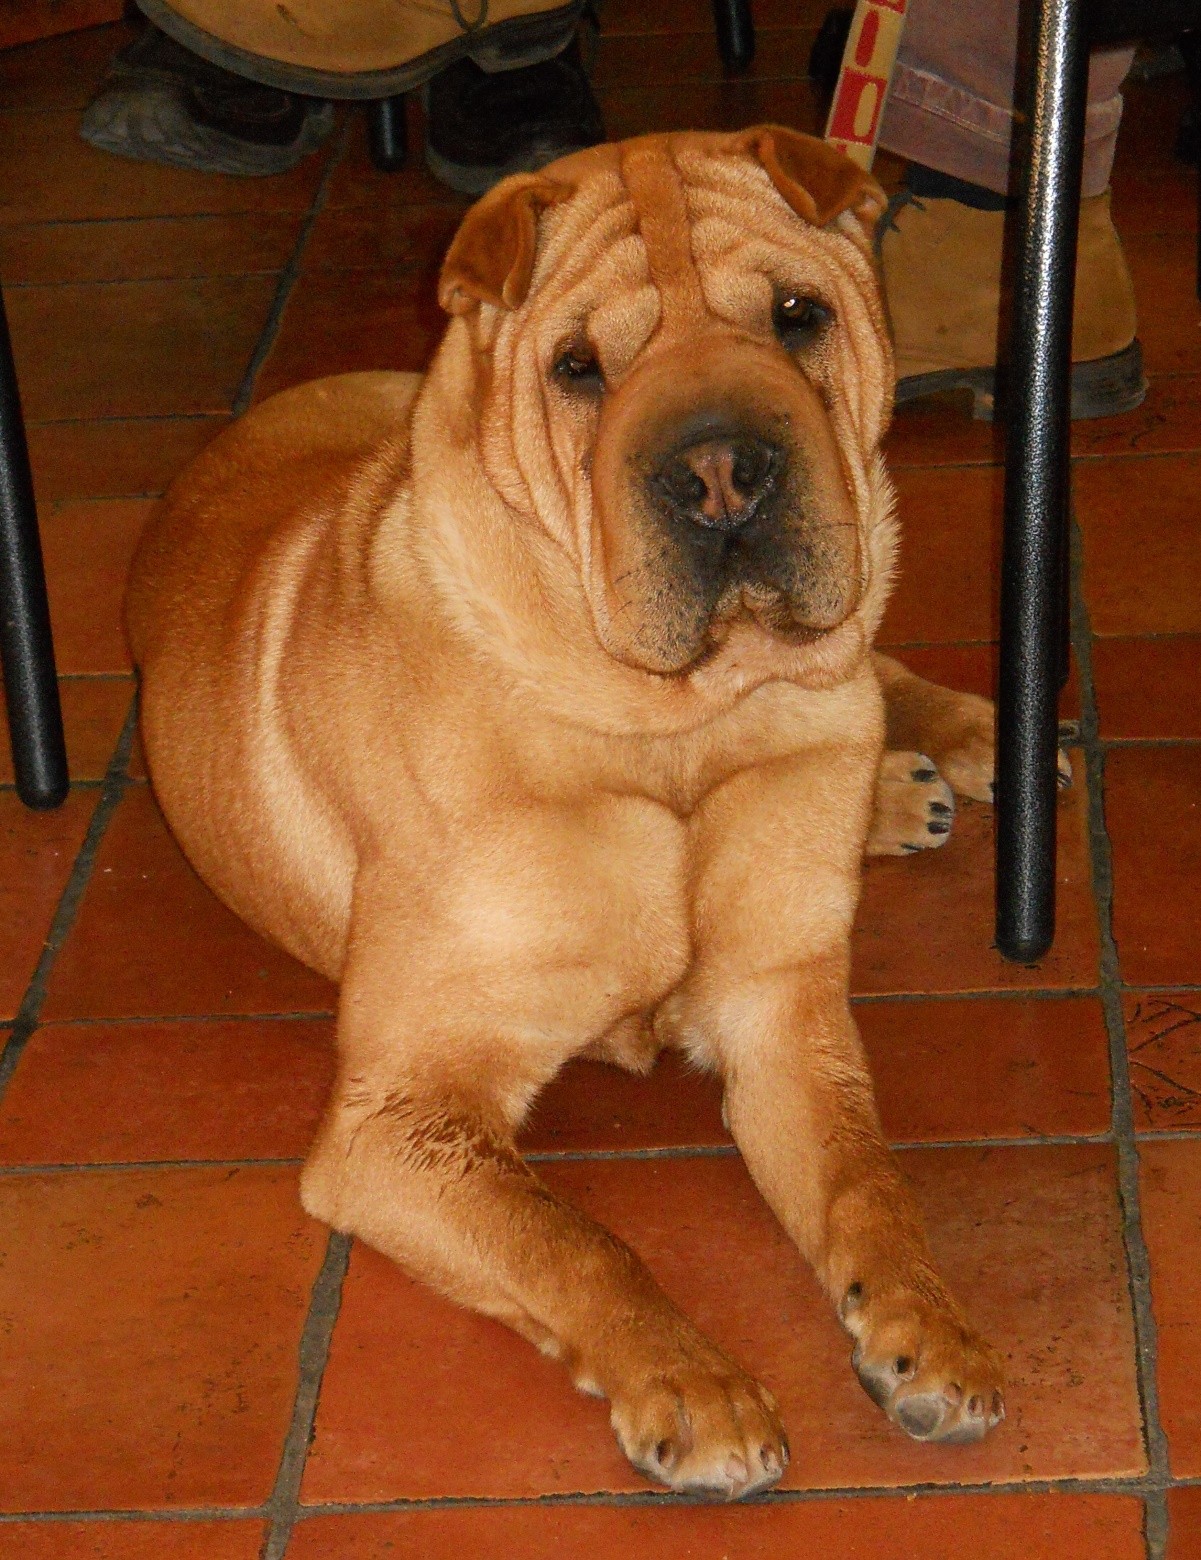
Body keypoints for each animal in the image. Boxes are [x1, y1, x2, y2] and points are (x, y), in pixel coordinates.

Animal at [128, 124, 1010, 1497]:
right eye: (579, 367)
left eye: (797, 316)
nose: (720, 471)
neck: (682, 726)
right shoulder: (399, 1114)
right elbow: (573, 1240)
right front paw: (695, 1389)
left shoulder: (780, 1009)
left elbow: (871, 1184)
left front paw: (932, 1331)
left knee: (870, 668)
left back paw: (950, 744)